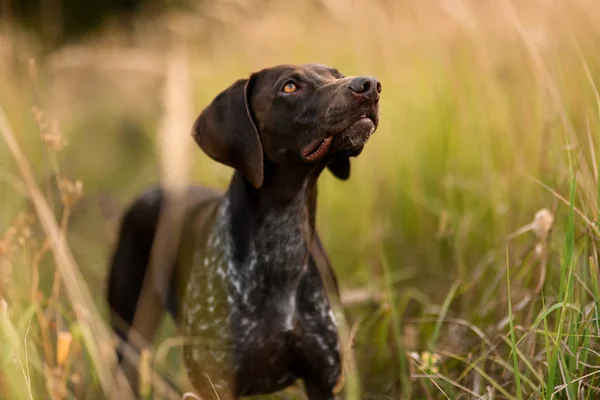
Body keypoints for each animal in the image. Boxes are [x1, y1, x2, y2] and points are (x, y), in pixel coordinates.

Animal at [107, 64, 380, 398]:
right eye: (290, 87)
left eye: (335, 74)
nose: (370, 85)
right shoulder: (216, 383)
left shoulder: (324, 379)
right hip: (129, 334)